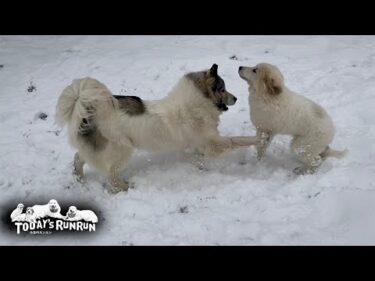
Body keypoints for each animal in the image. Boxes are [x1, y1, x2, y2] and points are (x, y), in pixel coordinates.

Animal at [55, 63, 260, 191]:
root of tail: (91, 111)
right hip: (121, 150)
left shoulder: (201, 145)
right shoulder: (213, 143)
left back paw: (78, 177)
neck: (196, 102)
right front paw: (258, 138)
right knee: (111, 176)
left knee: (79, 157)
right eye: (222, 89)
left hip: (99, 149)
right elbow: (236, 140)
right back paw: (125, 188)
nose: (236, 98)